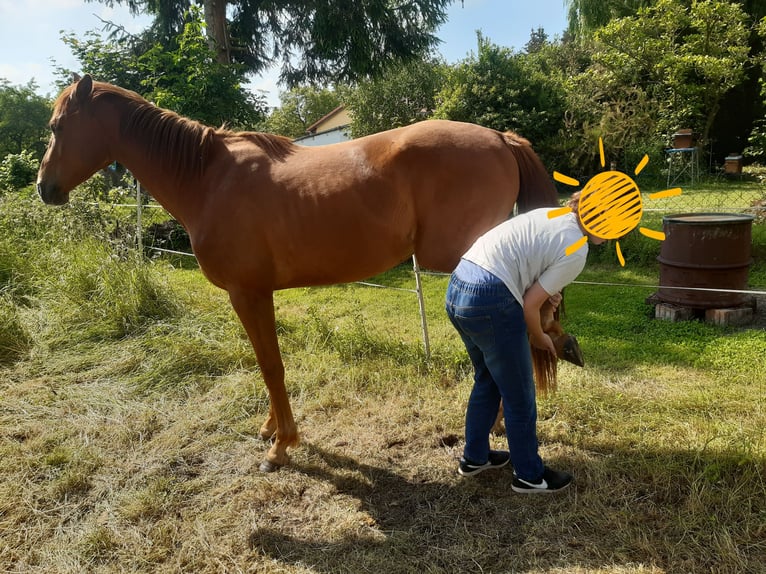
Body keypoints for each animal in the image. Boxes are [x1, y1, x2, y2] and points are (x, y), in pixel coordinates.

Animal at [40, 75, 568, 472]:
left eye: (58, 126)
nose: (44, 187)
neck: (208, 178)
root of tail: (499, 138)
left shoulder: (248, 293)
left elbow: (270, 365)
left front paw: (282, 445)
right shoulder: (256, 294)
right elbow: (267, 364)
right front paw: (271, 429)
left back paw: (500, 425)